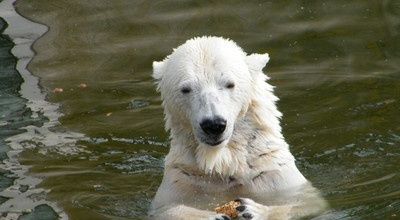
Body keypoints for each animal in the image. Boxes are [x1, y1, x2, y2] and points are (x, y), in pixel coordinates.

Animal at [149, 37, 324, 219]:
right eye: (185, 89)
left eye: (229, 84)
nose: (214, 125)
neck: (224, 162)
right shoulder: (182, 179)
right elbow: (168, 209)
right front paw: (212, 215)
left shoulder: (273, 174)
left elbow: (307, 202)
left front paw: (252, 209)